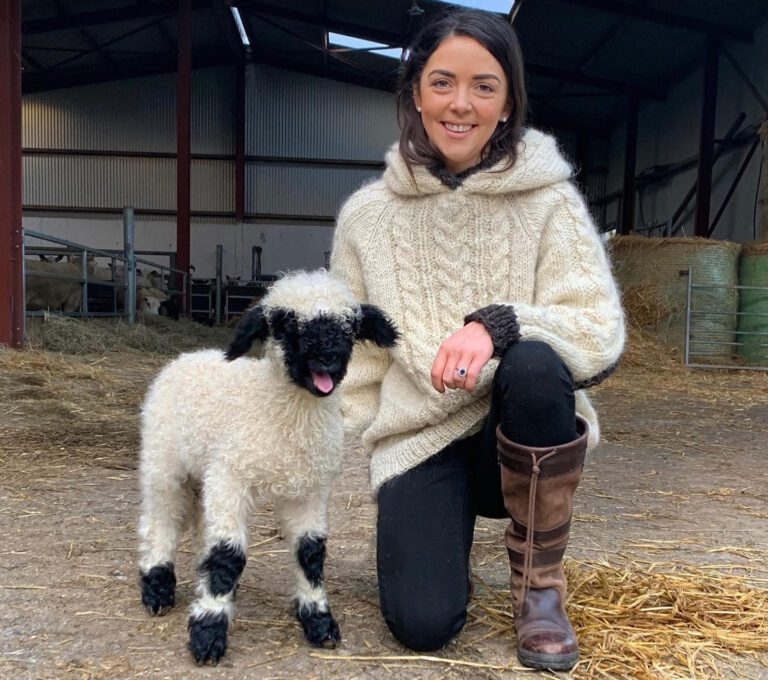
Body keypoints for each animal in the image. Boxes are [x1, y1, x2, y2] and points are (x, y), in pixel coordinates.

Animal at [137, 270, 398, 665]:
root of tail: (188, 356)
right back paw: (157, 590)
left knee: (200, 524)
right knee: (161, 521)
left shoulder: (309, 490)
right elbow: (227, 554)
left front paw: (319, 621)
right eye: (286, 323)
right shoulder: (230, 476)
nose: (327, 358)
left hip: (202, 472)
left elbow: (310, 553)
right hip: (164, 462)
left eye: (350, 325)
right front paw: (208, 633)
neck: (281, 416)